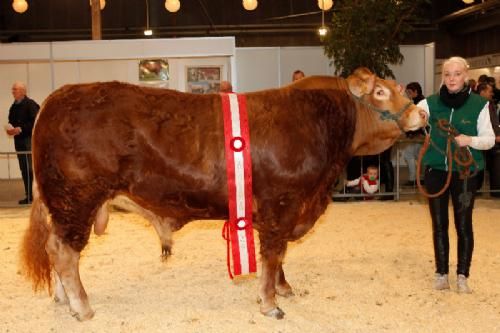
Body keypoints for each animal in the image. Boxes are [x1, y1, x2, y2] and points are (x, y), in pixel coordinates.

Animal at [19, 67, 426, 320]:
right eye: (380, 91)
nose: (420, 115)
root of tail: (58, 97)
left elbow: (277, 256)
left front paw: (283, 289)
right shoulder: (283, 203)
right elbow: (273, 254)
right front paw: (269, 303)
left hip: (66, 204)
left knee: (55, 248)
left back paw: (64, 300)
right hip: (77, 198)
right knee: (65, 252)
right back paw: (82, 307)